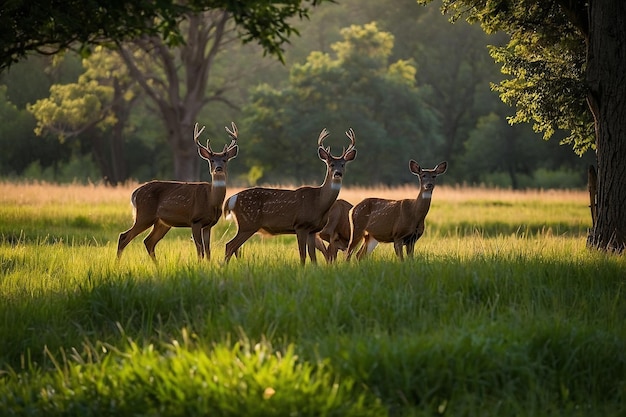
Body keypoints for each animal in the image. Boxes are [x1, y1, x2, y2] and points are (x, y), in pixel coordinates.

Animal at [116, 122, 238, 262]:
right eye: (211, 160)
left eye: (225, 160)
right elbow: (200, 249)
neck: (211, 200)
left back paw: (157, 265)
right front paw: (199, 264)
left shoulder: (209, 224)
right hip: (144, 214)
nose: (218, 168)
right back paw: (117, 264)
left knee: (148, 241)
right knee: (124, 237)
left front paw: (208, 264)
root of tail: (135, 193)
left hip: (162, 222)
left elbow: (208, 251)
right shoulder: (195, 220)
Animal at [223, 127, 356, 264]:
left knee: (233, 246)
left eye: (343, 164)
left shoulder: (313, 230)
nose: (338, 173)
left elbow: (312, 256)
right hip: (248, 223)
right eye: (331, 165)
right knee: (230, 245)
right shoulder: (300, 225)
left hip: (244, 225)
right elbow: (303, 255)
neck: (319, 202)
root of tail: (232, 199)